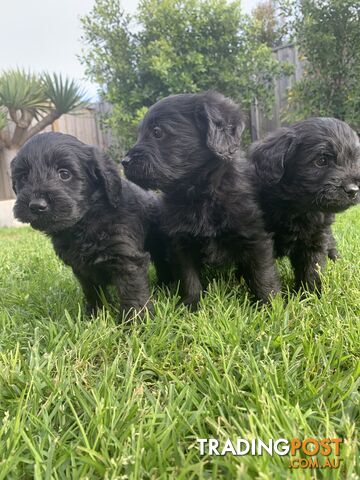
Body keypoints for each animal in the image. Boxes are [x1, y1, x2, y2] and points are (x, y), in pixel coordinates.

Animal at [9, 133, 170, 316]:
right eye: (23, 177)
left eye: (64, 174)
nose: (36, 205)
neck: (85, 221)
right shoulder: (82, 268)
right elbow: (92, 291)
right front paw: (96, 314)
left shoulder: (126, 258)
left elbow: (132, 291)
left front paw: (135, 320)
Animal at [122, 90, 280, 308]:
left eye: (157, 132)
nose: (124, 162)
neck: (200, 194)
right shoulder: (179, 242)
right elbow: (189, 278)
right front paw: (191, 306)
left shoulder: (255, 235)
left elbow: (262, 273)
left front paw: (270, 305)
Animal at [250, 118, 360, 294]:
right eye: (321, 161)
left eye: (354, 160)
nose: (354, 190)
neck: (298, 208)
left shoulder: (315, 239)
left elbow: (312, 268)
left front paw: (310, 295)